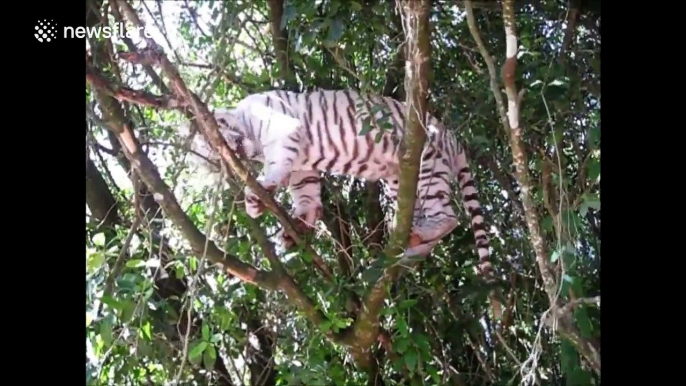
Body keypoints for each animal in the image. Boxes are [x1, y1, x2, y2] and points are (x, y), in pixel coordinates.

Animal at [185, 88, 492, 272]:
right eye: (212, 163)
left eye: (211, 146)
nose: (223, 160)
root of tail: (452, 135)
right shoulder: (302, 167)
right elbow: (306, 195)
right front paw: (297, 226)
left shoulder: (284, 132)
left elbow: (275, 168)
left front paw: (256, 196)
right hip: (401, 183)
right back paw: (411, 248)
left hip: (427, 166)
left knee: (450, 218)